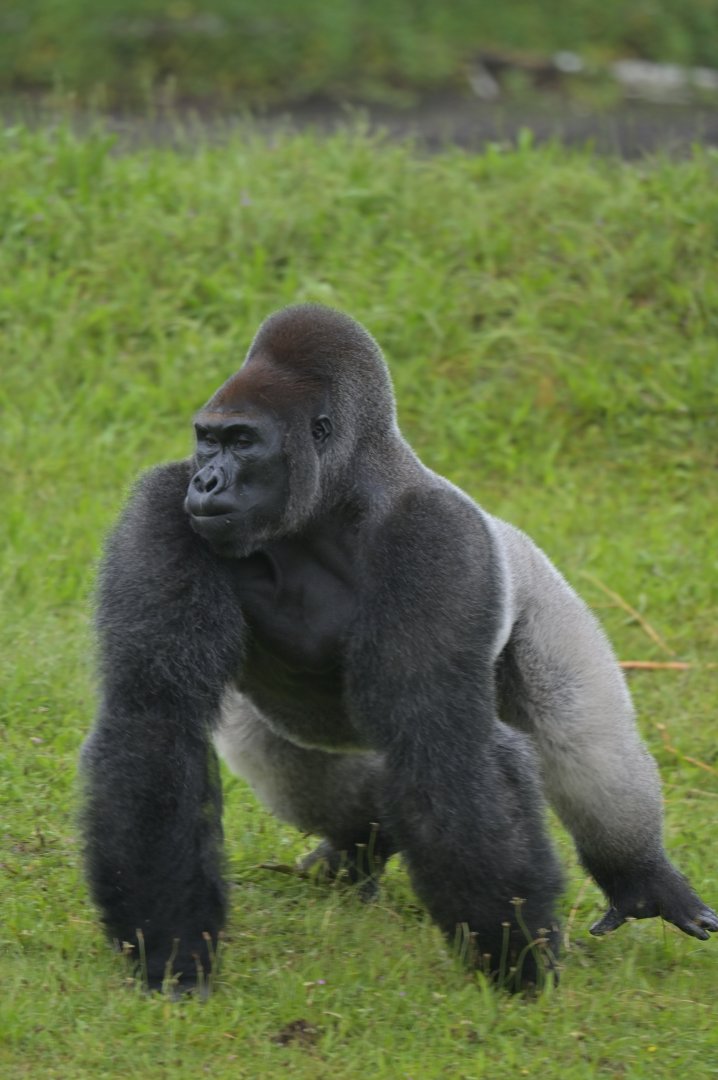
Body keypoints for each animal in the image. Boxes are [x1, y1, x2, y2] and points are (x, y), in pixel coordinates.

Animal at [81, 303, 717, 992]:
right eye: (207, 439)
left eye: (243, 441)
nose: (206, 479)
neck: (330, 505)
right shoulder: (164, 506)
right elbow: (155, 712)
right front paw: (168, 944)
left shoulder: (438, 535)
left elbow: (441, 736)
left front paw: (511, 954)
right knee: (293, 767)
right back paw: (363, 843)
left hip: (541, 585)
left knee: (581, 732)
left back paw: (638, 874)